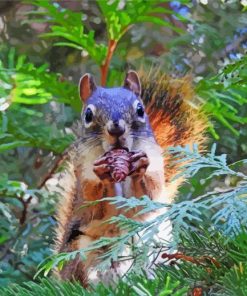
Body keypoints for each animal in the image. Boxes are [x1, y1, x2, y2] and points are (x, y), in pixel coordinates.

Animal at [49, 69, 207, 286]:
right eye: (88, 115)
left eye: (140, 109)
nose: (116, 129)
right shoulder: (84, 181)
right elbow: (96, 206)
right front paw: (104, 174)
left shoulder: (156, 166)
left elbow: (149, 195)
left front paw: (140, 166)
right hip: (85, 252)